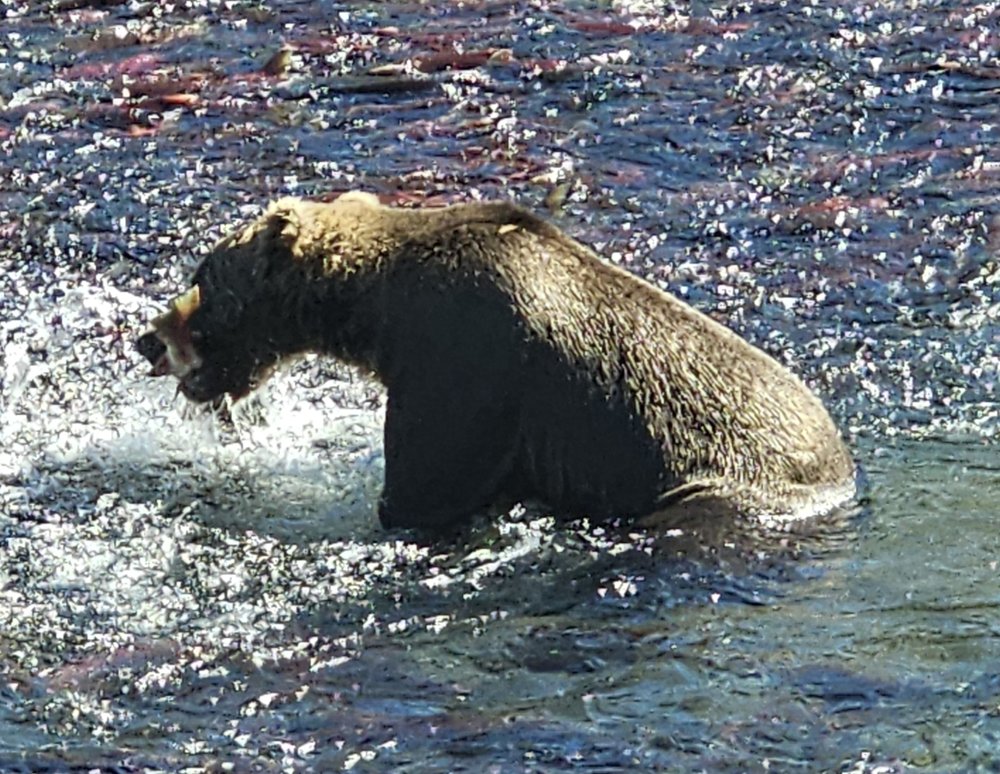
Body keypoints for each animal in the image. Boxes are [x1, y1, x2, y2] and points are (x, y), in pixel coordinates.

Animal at [137, 191, 856, 531]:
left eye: (204, 274)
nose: (149, 339)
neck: (378, 316)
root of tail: (848, 471)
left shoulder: (463, 368)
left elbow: (423, 486)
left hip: (730, 488)